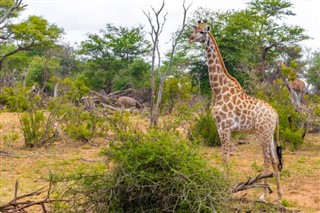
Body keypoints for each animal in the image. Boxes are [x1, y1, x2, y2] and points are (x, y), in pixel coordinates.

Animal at [189, 20, 284, 201]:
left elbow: (224, 156)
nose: (189, 39)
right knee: (275, 160)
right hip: (269, 134)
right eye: (194, 30)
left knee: (267, 159)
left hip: (262, 133)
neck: (219, 90)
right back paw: (279, 196)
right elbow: (226, 156)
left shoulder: (223, 127)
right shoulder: (226, 129)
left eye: (203, 32)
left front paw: (225, 187)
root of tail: (276, 114)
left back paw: (263, 195)